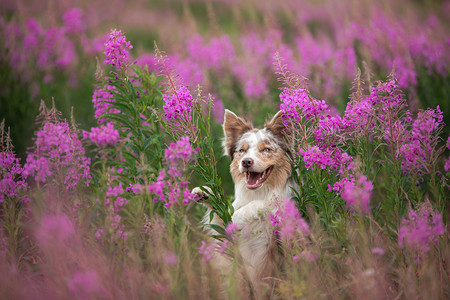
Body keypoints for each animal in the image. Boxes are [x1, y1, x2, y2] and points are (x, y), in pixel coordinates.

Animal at [193, 109, 296, 292]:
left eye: (266, 149)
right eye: (242, 150)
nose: (246, 162)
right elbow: (222, 213)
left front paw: (238, 216)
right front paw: (206, 193)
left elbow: (265, 203)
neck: (258, 191)